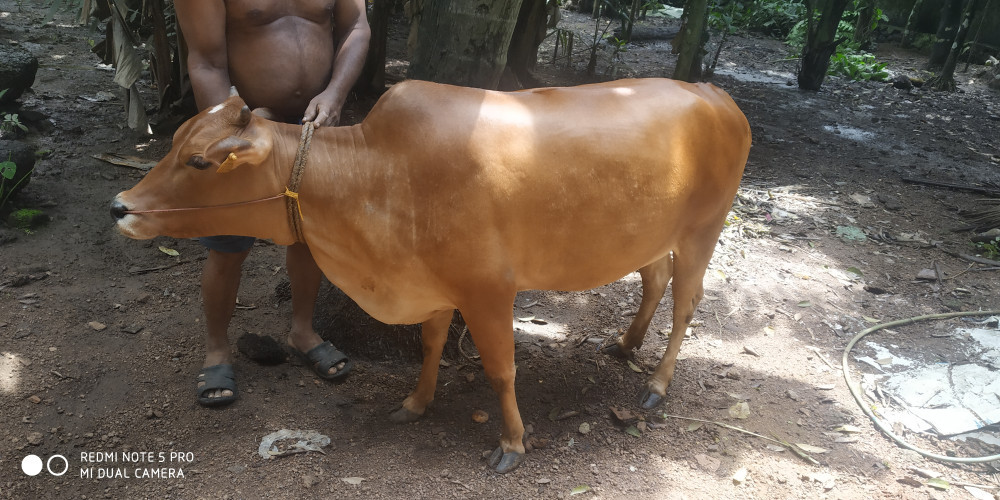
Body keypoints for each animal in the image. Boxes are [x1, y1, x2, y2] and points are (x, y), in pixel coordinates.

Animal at [111, 78, 751, 473]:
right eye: (175, 141)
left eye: (199, 161)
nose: (120, 206)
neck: (378, 172)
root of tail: (712, 92)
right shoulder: (435, 285)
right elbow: (430, 345)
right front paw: (415, 403)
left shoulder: (488, 289)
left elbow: (500, 369)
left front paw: (512, 442)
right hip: (651, 235)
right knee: (655, 281)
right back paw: (625, 345)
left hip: (703, 231)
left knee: (687, 303)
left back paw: (656, 385)